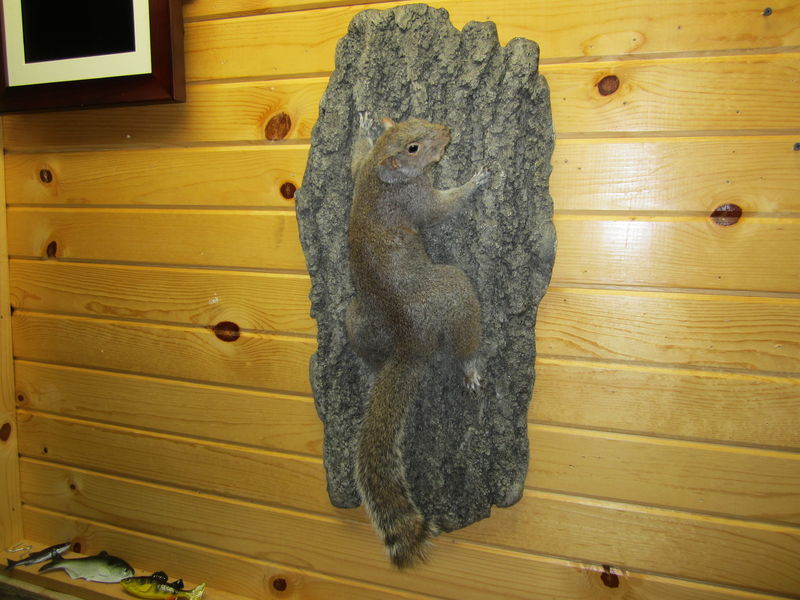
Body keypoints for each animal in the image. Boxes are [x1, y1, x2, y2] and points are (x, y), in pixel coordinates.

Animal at [346, 114, 488, 568]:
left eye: (414, 120)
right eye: (413, 148)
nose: (447, 132)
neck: (380, 177)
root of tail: (412, 340)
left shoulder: (360, 169)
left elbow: (353, 158)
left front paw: (363, 126)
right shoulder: (416, 199)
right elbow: (440, 209)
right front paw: (473, 181)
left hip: (357, 319)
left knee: (369, 351)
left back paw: (373, 370)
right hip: (454, 290)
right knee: (464, 335)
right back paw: (469, 366)